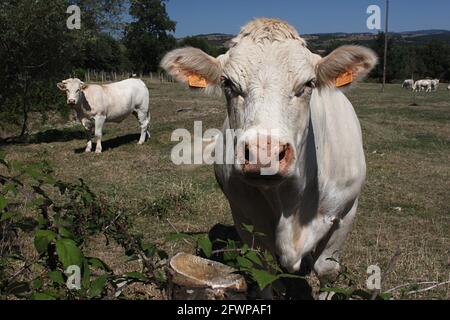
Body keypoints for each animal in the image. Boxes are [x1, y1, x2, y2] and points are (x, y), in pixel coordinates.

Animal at [160, 18, 378, 282]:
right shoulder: (245, 220)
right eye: (228, 83)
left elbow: (327, 269)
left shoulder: (345, 214)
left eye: (308, 84)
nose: (264, 154)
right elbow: (262, 271)